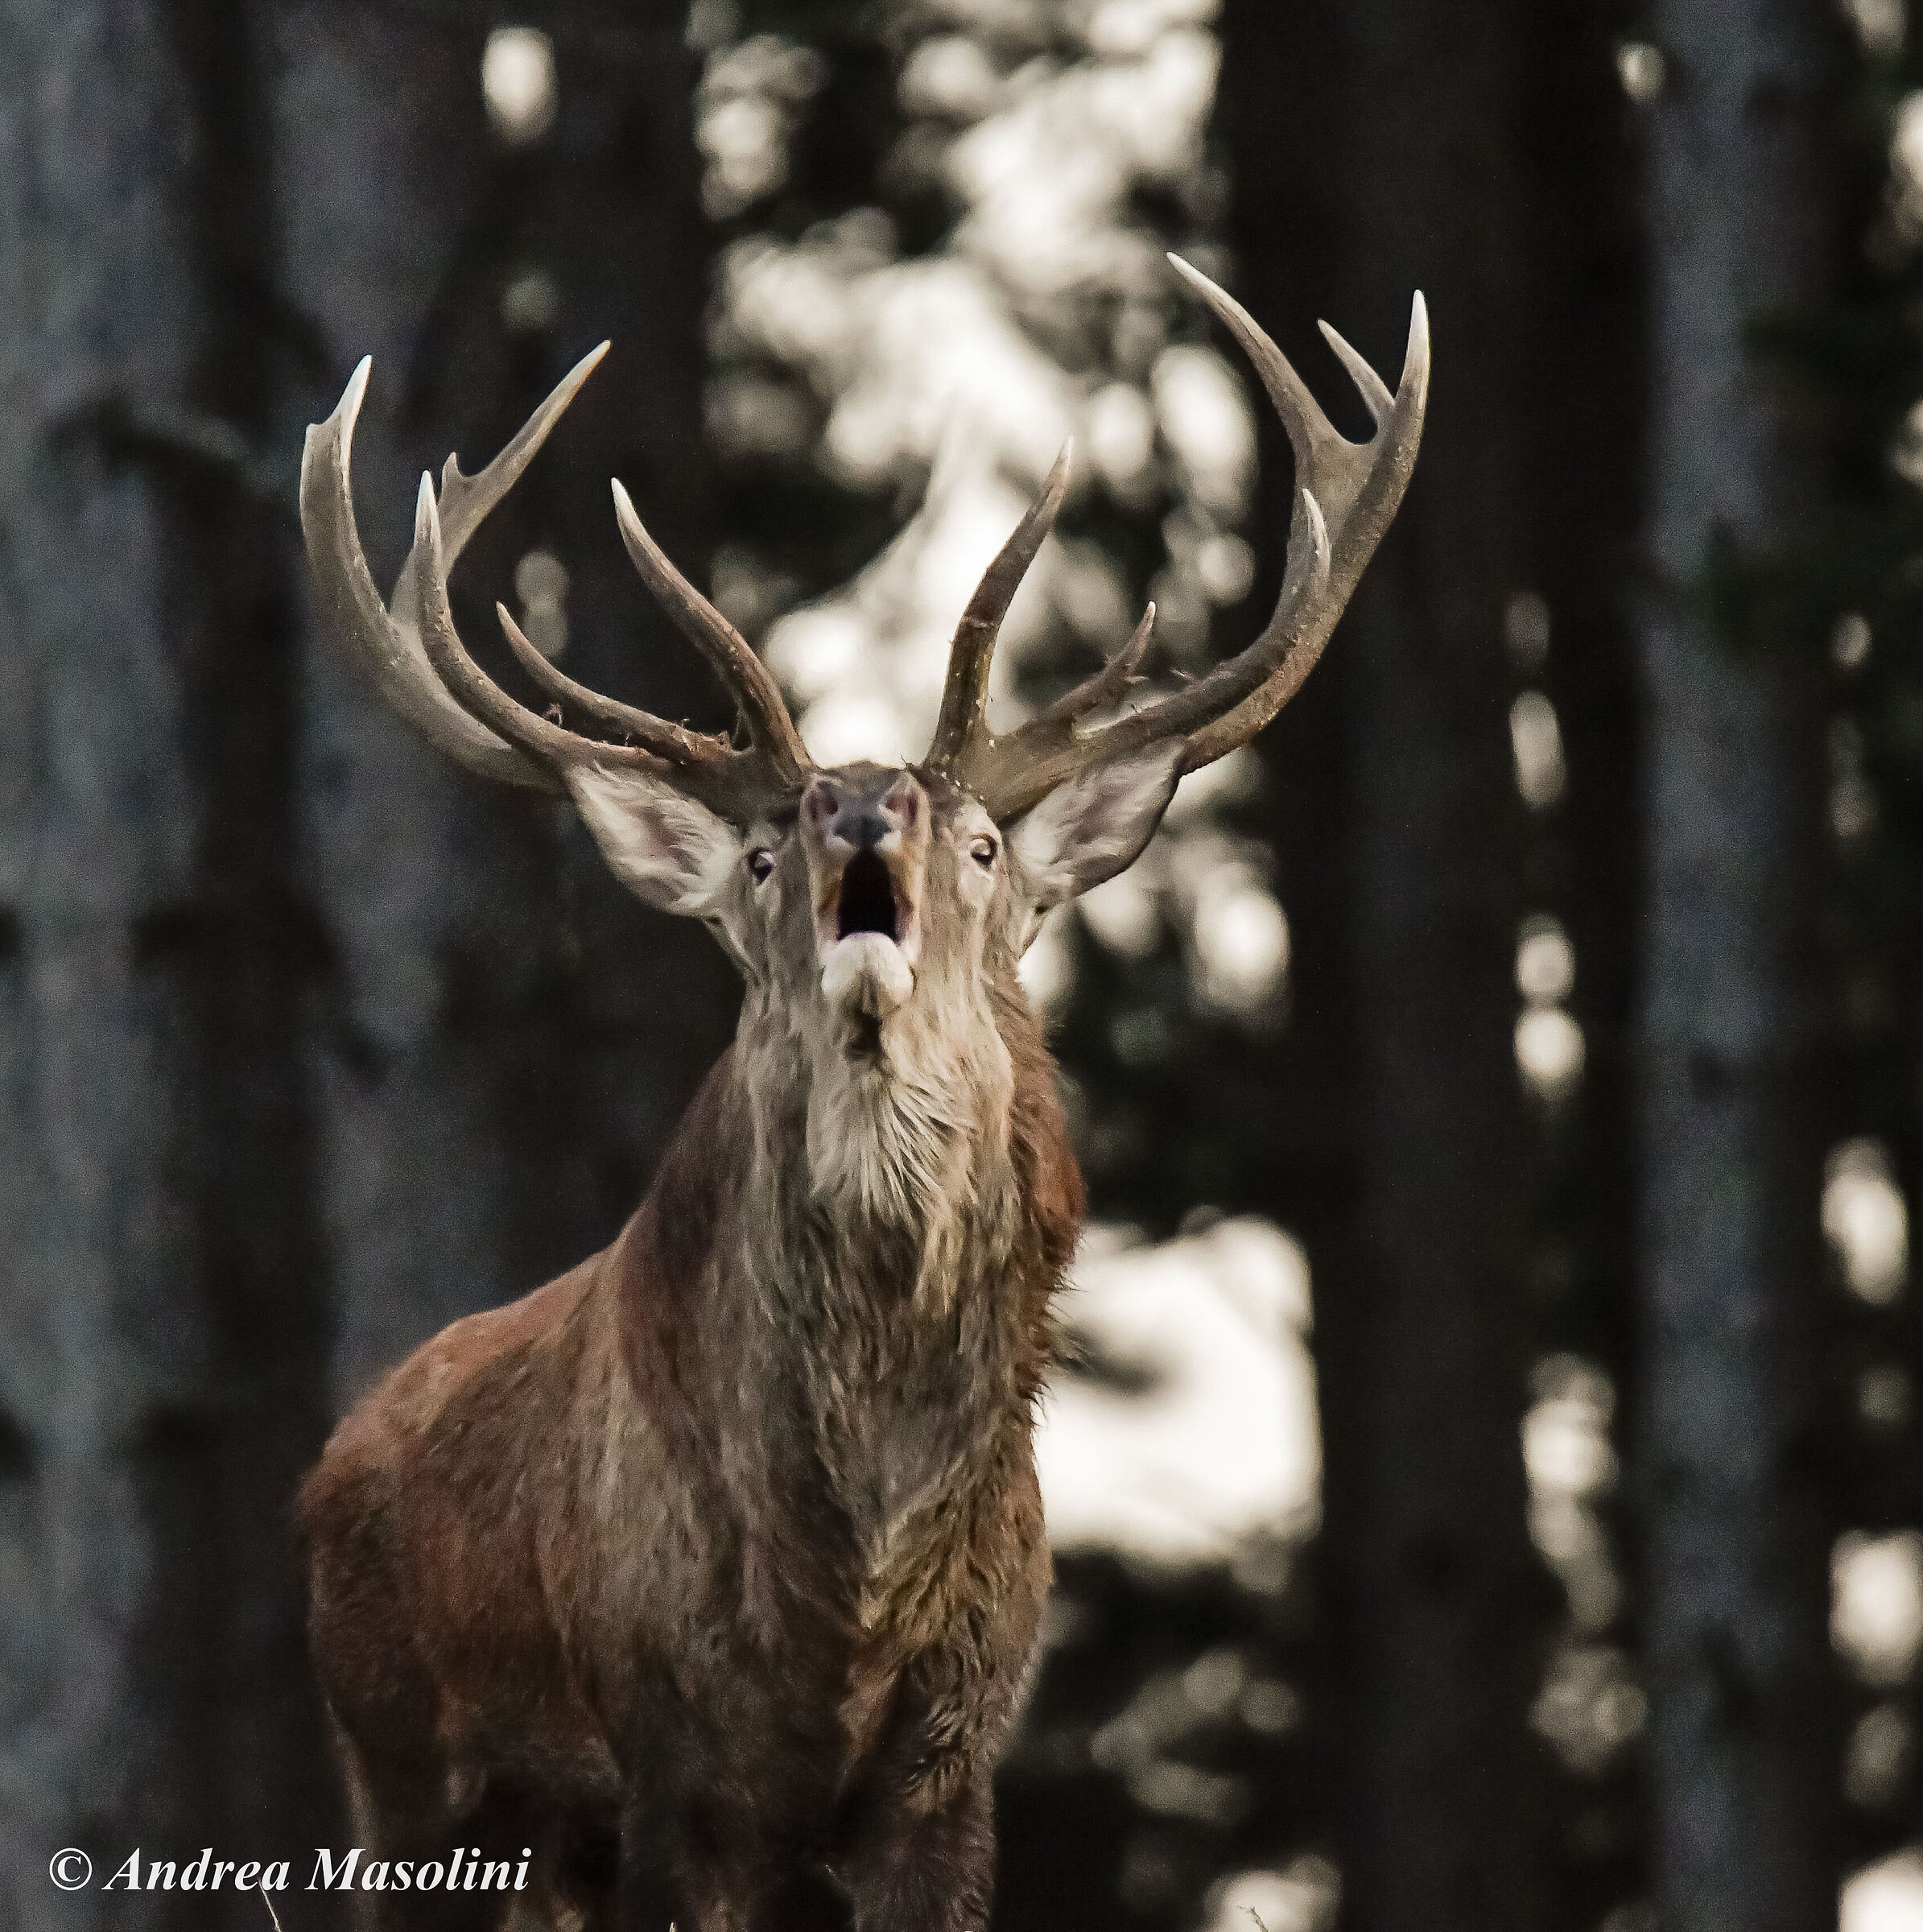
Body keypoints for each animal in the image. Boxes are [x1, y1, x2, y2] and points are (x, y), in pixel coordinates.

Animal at [295, 254, 1426, 1932]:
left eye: (981, 844)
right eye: (764, 852)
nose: (858, 808)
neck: (860, 1576)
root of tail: (330, 1465)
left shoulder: (948, 1763)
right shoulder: (667, 1757)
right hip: (402, 1781)